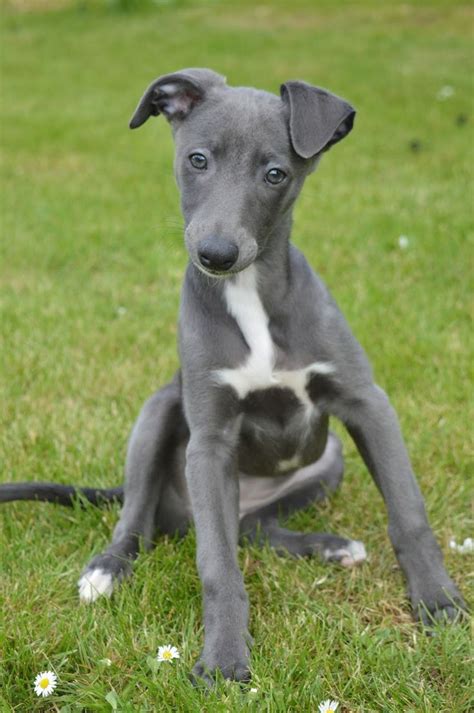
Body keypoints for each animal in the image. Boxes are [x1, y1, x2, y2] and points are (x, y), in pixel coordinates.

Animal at [0, 71, 466, 684]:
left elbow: (409, 513)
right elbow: (217, 563)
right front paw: (223, 660)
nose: (215, 254)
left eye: (276, 174)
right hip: (158, 413)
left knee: (253, 529)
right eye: (197, 159)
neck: (249, 296)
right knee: (137, 520)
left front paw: (438, 602)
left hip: (326, 463)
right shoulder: (210, 442)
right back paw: (106, 570)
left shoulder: (368, 404)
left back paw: (329, 546)